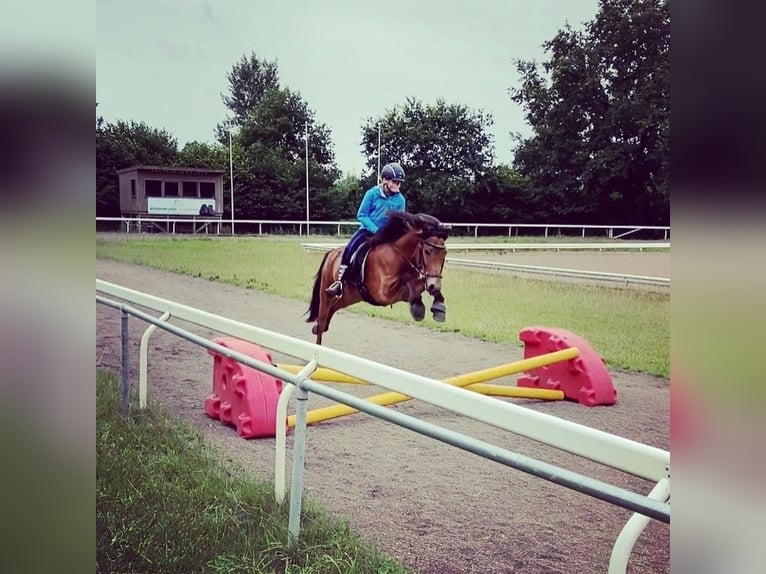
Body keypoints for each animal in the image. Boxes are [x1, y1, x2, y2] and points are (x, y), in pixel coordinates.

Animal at [306, 213, 450, 344]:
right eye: (427, 251)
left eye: (444, 254)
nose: (434, 284)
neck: (398, 256)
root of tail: (332, 252)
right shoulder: (384, 293)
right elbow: (407, 280)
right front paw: (418, 307)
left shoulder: (403, 293)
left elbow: (418, 285)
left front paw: (438, 306)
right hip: (326, 295)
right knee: (321, 323)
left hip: (348, 297)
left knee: (328, 316)